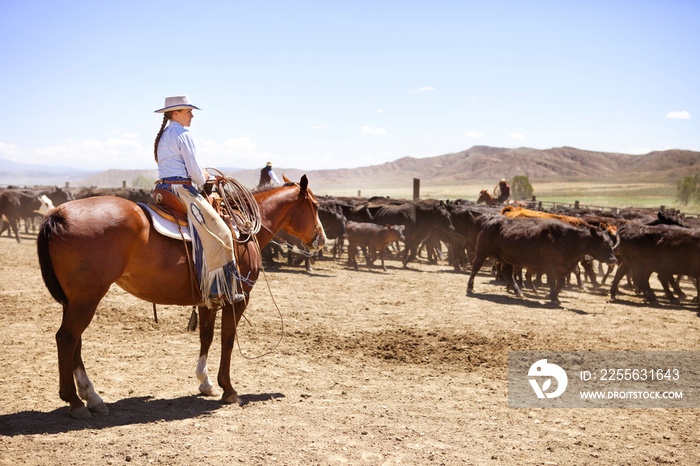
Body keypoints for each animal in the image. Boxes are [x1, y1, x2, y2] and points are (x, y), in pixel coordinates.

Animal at [37, 176, 324, 418]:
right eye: (315, 205)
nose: (321, 238)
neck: (240, 231)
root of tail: (58, 214)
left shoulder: (210, 297)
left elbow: (206, 336)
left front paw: (205, 383)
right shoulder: (238, 299)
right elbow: (227, 340)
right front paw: (228, 389)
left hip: (74, 300)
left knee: (75, 342)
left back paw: (92, 397)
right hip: (87, 298)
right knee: (67, 338)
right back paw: (75, 402)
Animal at [468, 217, 616, 304]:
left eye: (610, 242)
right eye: (603, 243)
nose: (613, 259)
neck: (567, 238)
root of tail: (489, 221)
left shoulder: (562, 268)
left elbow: (561, 283)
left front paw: (551, 296)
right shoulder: (550, 267)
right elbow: (552, 282)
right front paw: (553, 297)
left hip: (507, 258)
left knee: (508, 274)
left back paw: (519, 292)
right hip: (482, 252)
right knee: (475, 267)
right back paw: (470, 287)